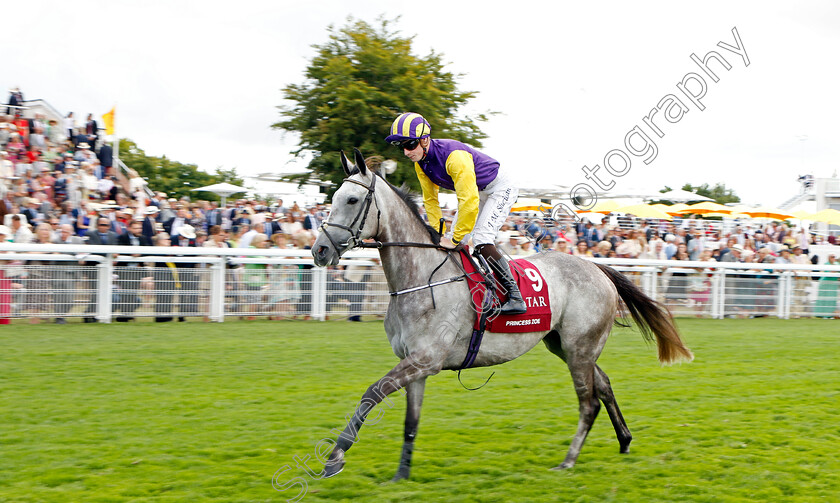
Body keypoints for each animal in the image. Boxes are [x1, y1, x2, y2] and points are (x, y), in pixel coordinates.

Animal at [312, 149, 692, 480]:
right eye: (333, 197)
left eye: (352, 200)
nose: (320, 250)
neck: (421, 278)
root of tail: (595, 266)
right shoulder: (416, 366)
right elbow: (410, 423)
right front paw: (401, 474)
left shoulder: (425, 360)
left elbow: (371, 393)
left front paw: (334, 457)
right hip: (566, 345)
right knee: (605, 385)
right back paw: (624, 440)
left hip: (579, 347)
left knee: (589, 403)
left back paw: (568, 460)